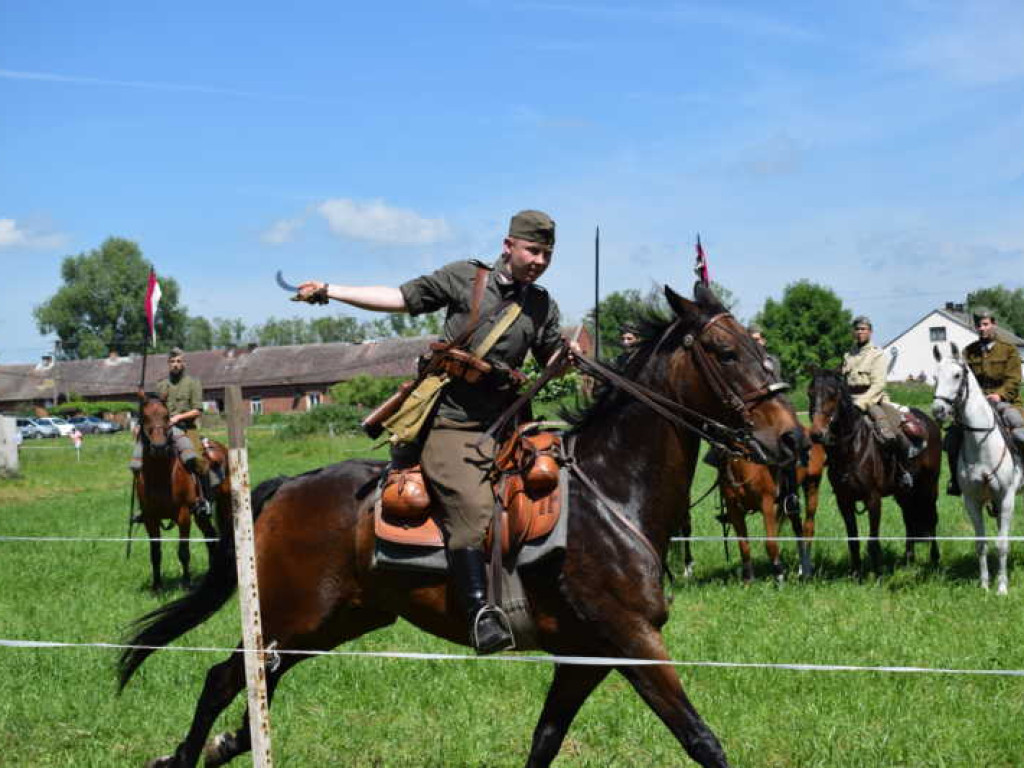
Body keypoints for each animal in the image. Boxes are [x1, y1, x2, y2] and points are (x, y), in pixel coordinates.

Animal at [134, 397, 230, 591]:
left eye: (166, 416)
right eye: (145, 416)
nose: (159, 447)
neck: (161, 476)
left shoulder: (183, 515)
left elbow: (183, 551)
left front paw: (186, 583)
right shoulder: (150, 518)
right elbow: (155, 553)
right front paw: (157, 586)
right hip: (201, 515)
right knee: (210, 536)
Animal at [716, 440, 826, 583]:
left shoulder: (768, 505)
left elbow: (770, 542)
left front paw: (779, 576)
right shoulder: (734, 510)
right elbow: (743, 545)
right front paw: (749, 580)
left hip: (812, 484)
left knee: (808, 527)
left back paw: (806, 571)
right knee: (798, 529)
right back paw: (802, 569)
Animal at [807, 369, 942, 576]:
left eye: (833, 394)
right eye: (810, 394)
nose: (817, 434)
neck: (852, 448)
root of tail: (929, 423)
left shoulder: (873, 499)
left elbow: (873, 541)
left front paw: (878, 575)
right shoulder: (844, 500)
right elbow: (853, 541)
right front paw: (856, 574)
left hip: (929, 487)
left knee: (932, 519)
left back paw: (934, 561)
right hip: (904, 493)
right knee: (909, 520)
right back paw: (908, 560)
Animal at [931, 343, 1021, 595]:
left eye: (957, 375)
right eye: (935, 377)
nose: (938, 410)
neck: (982, 443)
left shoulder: (1007, 497)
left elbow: (1002, 543)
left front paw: (1002, 587)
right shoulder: (972, 501)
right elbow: (981, 543)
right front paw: (984, 585)